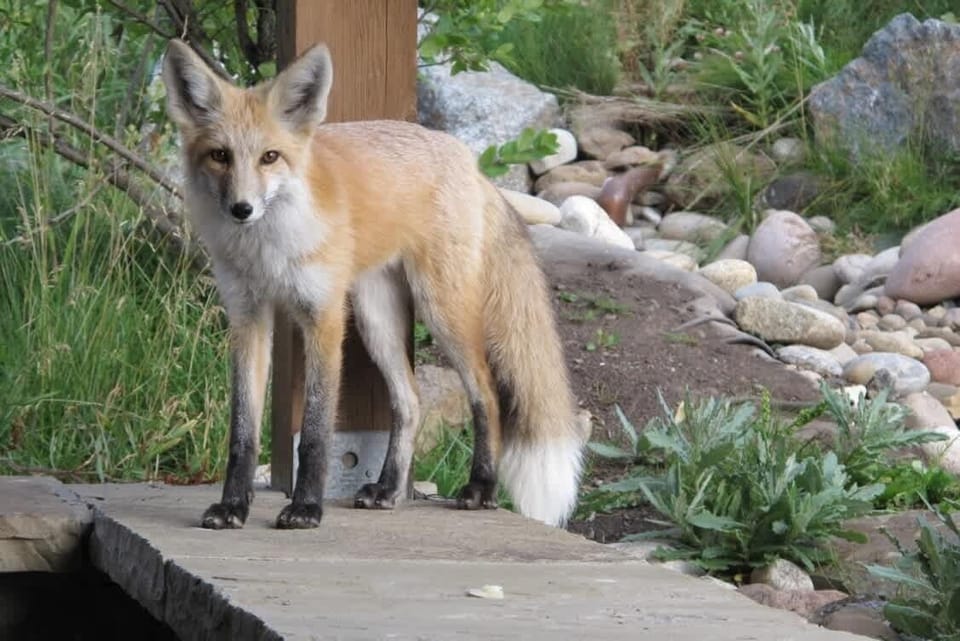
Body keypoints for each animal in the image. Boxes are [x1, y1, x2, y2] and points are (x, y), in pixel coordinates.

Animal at [161, 38, 585, 530]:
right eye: (220, 156)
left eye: (270, 156)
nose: (241, 209)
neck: (267, 252)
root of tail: (467, 160)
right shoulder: (248, 317)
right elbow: (242, 434)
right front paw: (232, 506)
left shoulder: (323, 316)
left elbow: (316, 431)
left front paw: (306, 507)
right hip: (376, 320)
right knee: (411, 402)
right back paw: (388, 488)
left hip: (441, 312)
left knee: (488, 393)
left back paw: (480, 486)